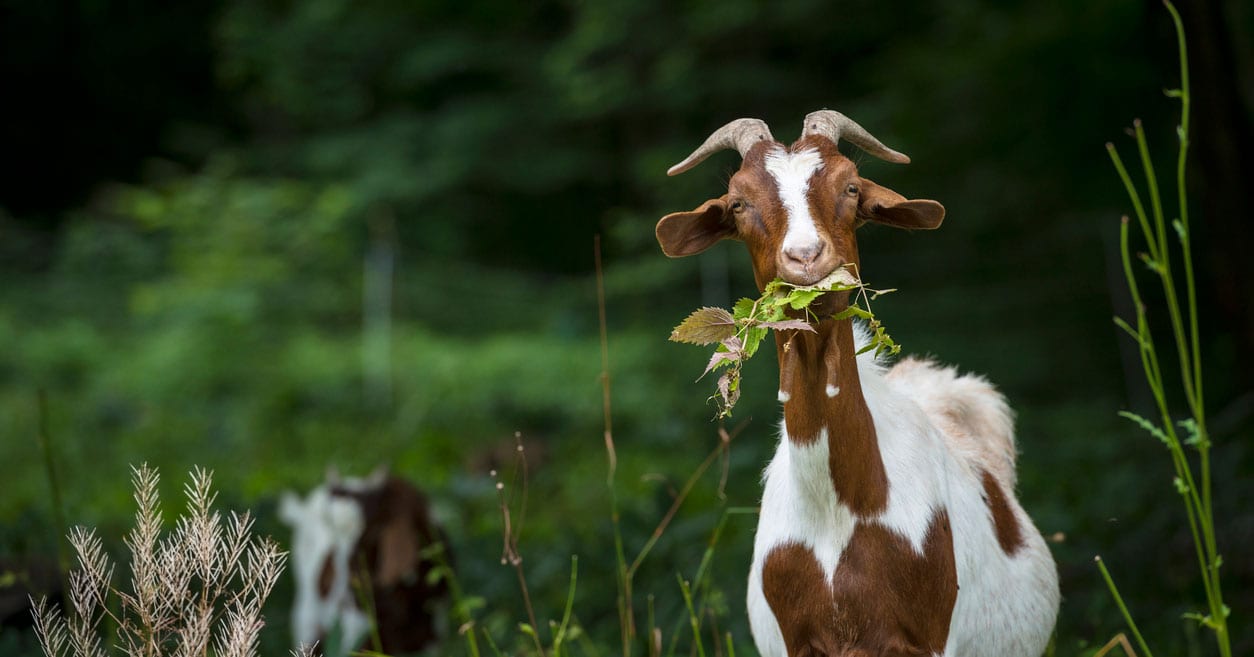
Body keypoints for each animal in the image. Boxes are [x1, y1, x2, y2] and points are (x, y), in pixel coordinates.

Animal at [279, 467, 448, 656]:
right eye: (332, 531)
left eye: (374, 532)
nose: (341, 595)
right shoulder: (357, 630)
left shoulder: (431, 635)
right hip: (307, 613)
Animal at [656, 111, 1059, 657]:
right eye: (738, 203)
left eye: (850, 187)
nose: (806, 256)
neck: (842, 509)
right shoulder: (798, 641)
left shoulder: (925, 638)